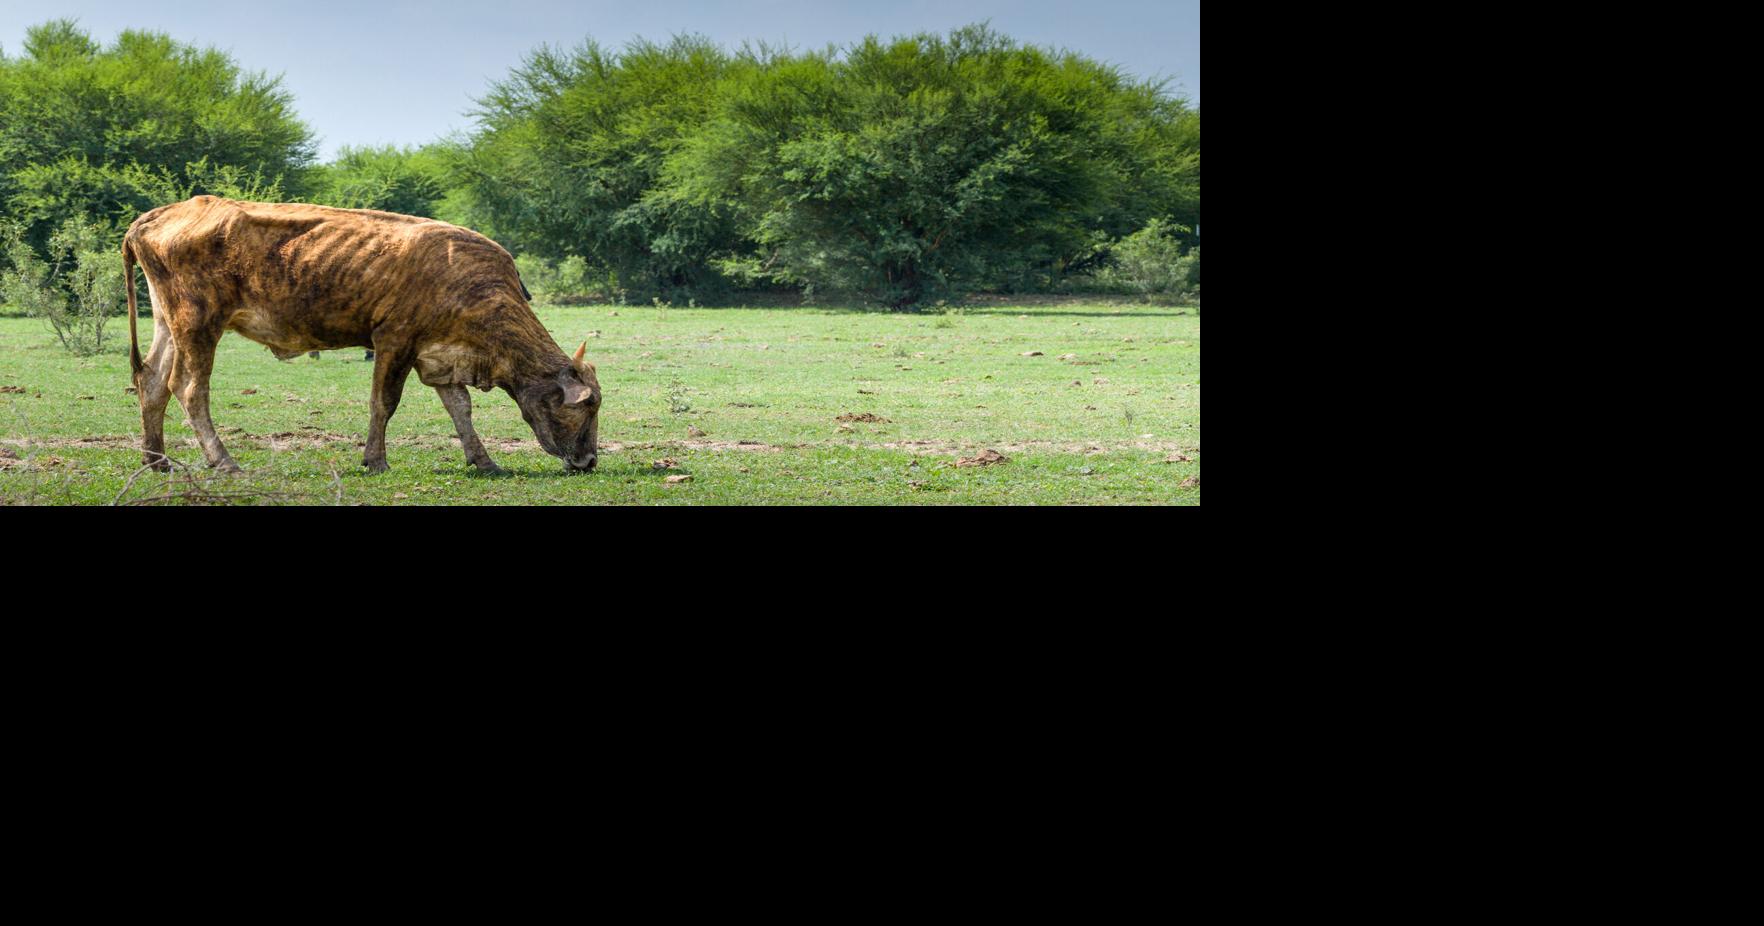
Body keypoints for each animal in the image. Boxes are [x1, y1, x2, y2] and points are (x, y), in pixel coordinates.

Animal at [121, 196, 601, 476]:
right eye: (587, 406)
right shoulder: (394, 342)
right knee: (188, 388)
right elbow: (383, 403)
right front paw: (375, 459)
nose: (589, 460)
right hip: (199, 324)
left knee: (152, 382)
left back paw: (156, 461)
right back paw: (224, 461)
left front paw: (483, 461)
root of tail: (155, 216)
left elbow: (460, 409)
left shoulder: (438, 358)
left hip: (170, 324)